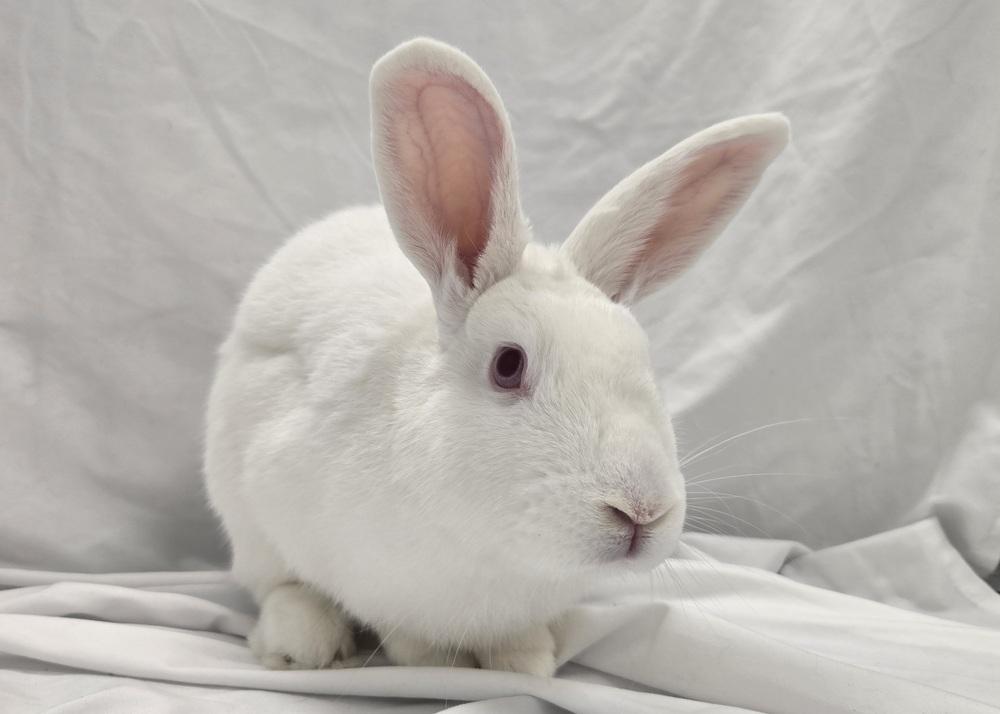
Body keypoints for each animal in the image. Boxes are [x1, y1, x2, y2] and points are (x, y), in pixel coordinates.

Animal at [203, 36, 789, 677]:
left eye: (645, 365)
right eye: (508, 365)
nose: (641, 511)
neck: (500, 551)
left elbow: (517, 640)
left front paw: (528, 663)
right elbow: (399, 633)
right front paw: (436, 665)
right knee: (276, 584)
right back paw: (300, 643)